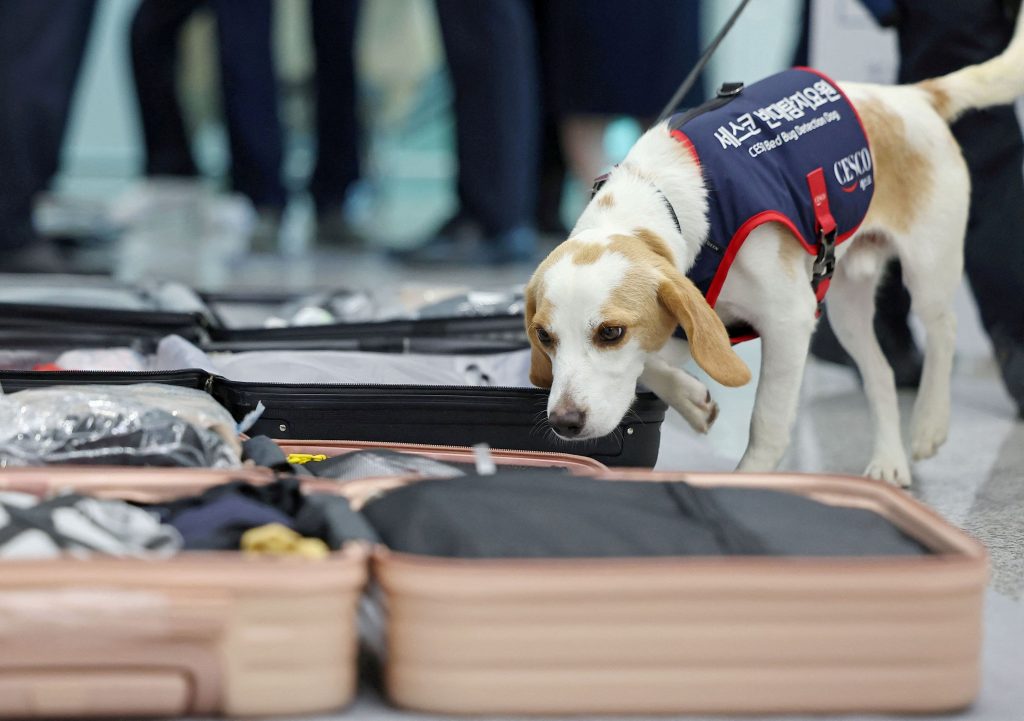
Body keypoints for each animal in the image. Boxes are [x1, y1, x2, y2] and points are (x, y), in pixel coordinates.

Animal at [528, 12, 1024, 483]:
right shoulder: (693, 319)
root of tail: (911, 98)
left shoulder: (789, 319)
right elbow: (650, 364)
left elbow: (767, 421)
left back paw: (929, 424)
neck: (661, 196)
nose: (564, 422)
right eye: (544, 337)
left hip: (928, 269)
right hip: (844, 307)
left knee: (944, 332)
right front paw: (690, 399)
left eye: (611, 333)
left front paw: (751, 477)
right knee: (881, 374)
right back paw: (889, 462)